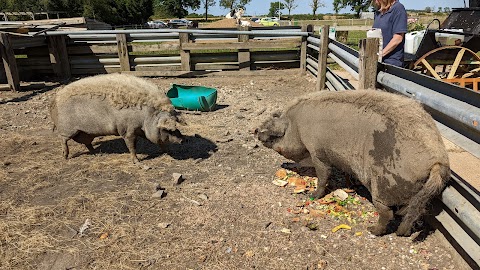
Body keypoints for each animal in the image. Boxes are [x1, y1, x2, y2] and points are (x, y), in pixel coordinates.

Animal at [50, 72, 182, 165]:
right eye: (167, 129)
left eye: (176, 126)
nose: (182, 140)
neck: (146, 116)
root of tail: (54, 100)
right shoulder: (127, 130)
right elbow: (131, 146)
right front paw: (137, 162)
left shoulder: (140, 130)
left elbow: (159, 143)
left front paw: (168, 151)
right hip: (67, 129)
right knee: (62, 139)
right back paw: (65, 156)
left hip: (85, 133)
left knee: (88, 143)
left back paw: (97, 154)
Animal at [256, 89, 448, 235]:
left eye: (275, 134)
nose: (256, 130)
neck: (296, 126)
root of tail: (438, 161)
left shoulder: (318, 152)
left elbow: (323, 174)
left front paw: (312, 196)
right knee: (412, 212)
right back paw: (404, 233)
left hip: (382, 186)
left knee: (387, 213)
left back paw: (372, 230)